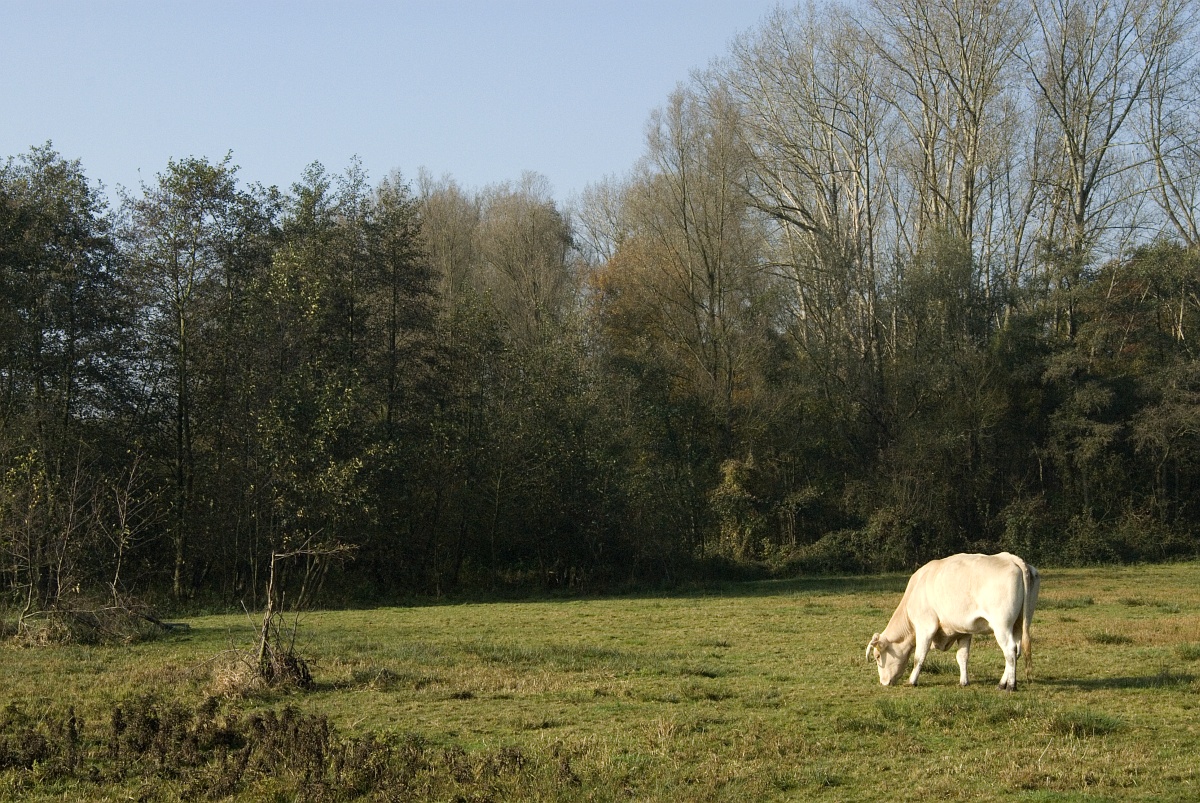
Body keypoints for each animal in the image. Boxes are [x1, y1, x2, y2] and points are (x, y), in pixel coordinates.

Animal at [866, 552, 1039, 691]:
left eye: (878, 656)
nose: (883, 682)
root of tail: (1011, 558)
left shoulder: (925, 627)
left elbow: (919, 657)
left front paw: (912, 681)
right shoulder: (965, 630)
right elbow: (962, 657)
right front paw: (963, 681)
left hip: (1002, 626)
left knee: (1010, 650)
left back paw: (1010, 686)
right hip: (1019, 624)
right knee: (1016, 651)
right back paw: (1002, 683)